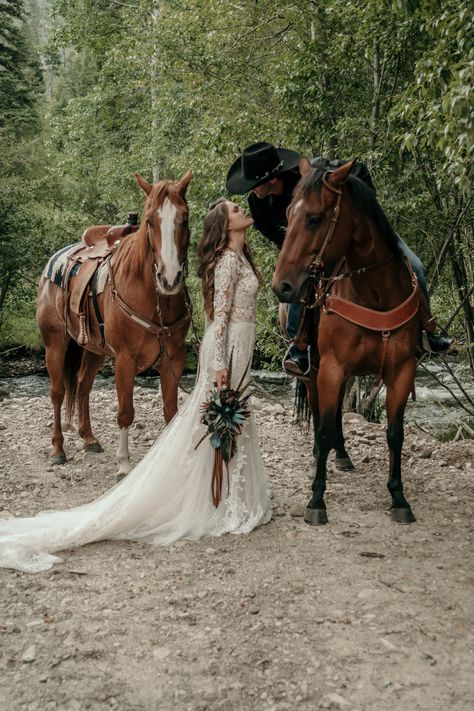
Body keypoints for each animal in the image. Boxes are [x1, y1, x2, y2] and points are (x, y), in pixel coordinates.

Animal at [37, 171, 193, 478]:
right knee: (58, 393)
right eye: (149, 220)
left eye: (185, 218)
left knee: (83, 385)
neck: (153, 297)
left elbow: (170, 412)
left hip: (94, 350)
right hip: (55, 345)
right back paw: (58, 449)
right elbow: (125, 412)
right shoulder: (124, 359)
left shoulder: (175, 358)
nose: (169, 278)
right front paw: (124, 465)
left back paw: (89, 439)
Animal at [272, 163, 420, 528]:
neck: (375, 293)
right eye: (287, 214)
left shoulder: (402, 370)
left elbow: (395, 433)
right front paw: (316, 500)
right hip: (313, 371)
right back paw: (320, 456)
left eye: (315, 218)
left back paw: (342, 455)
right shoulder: (331, 368)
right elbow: (323, 429)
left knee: (338, 410)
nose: (282, 286)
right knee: (320, 415)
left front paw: (399, 498)